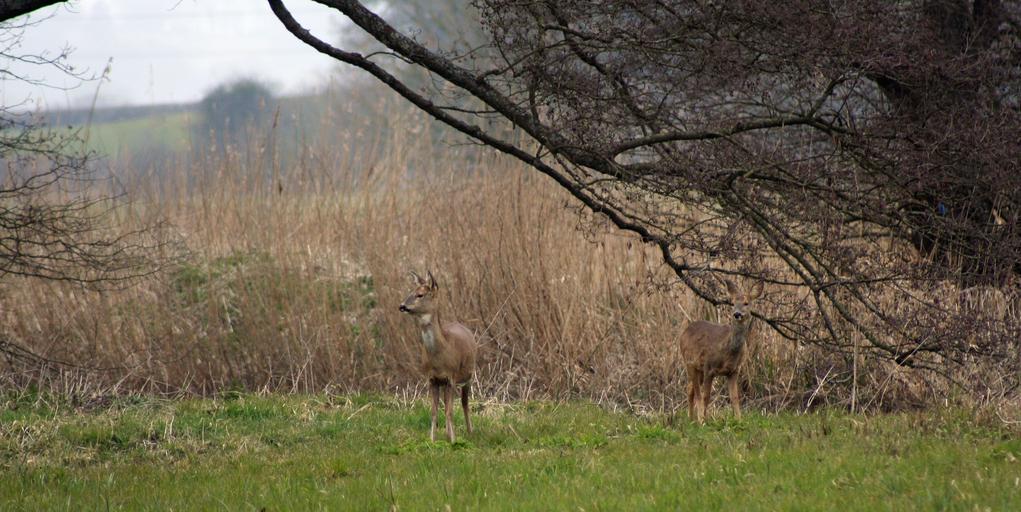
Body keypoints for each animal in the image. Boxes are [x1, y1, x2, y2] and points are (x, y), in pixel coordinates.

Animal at [398, 270, 478, 442]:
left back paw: (470, 432)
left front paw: (454, 441)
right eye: (410, 291)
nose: (402, 306)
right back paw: (448, 434)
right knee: (447, 403)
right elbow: (434, 411)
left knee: (464, 403)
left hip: (468, 376)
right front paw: (432, 440)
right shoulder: (432, 378)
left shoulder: (451, 377)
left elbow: (450, 411)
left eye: (420, 294)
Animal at [679, 279, 763, 424]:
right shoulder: (709, 367)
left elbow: (734, 397)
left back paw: (691, 418)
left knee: (690, 389)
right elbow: (706, 396)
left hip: (698, 369)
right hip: (689, 362)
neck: (728, 351)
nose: (737, 314)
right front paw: (704, 420)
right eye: (733, 303)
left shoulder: (734, 371)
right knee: (696, 391)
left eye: (746, 303)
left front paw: (739, 420)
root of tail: (684, 332)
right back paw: (697, 419)